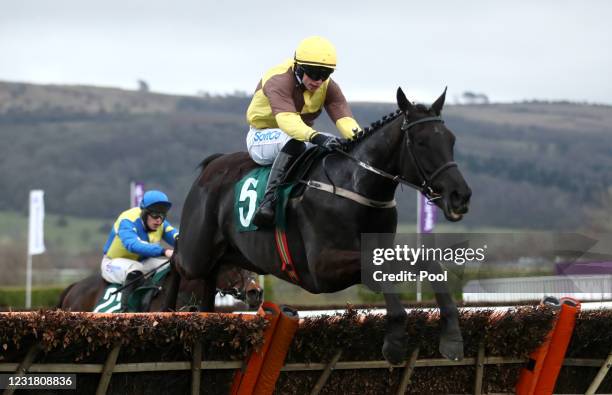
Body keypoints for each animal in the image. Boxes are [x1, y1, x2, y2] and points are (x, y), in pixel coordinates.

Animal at [170, 88, 470, 364]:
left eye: (452, 140)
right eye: (421, 142)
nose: (460, 195)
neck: (357, 185)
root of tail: (213, 165)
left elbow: (427, 262)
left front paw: (452, 336)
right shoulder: (322, 268)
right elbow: (377, 268)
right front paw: (395, 342)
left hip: (231, 256)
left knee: (208, 281)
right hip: (196, 253)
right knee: (176, 260)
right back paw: (168, 312)